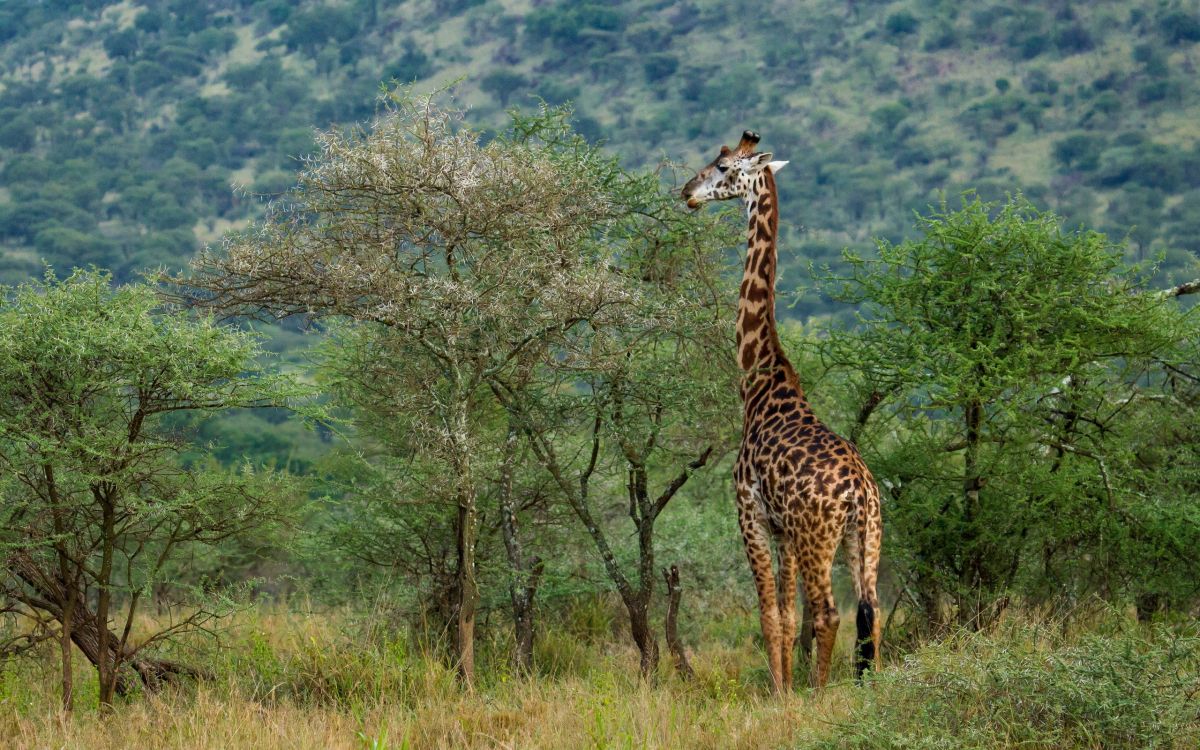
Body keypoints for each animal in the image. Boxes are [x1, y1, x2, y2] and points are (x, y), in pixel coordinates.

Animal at [681, 131, 882, 691]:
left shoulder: (748, 513)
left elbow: (770, 613)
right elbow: (789, 616)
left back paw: (817, 691)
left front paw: (778, 692)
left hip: (819, 537)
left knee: (830, 612)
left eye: (722, 166)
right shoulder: (783, 531)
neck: (759, 379)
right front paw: (784, 685)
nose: (686, 193)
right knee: (871, 610)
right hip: (866, 538)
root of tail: (861, 493)